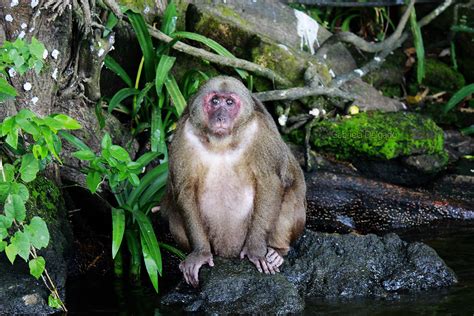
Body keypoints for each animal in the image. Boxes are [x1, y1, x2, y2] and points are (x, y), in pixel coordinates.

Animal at [161, 76, 306, 286]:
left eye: (229, 103)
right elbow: (184, 189)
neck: (222, 141)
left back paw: (277, 251)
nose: (221, 117)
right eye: (215, 101)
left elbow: (269, 182)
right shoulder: (183, 136)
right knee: (172, 209)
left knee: (291, 195)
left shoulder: (260, 132)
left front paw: (256, 249)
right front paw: (200, 253)